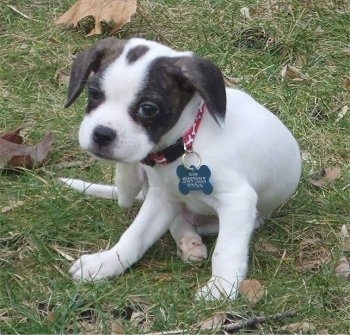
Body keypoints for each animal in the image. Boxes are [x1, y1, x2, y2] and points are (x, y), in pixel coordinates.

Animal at [60, 37, 300, 302]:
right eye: (93, 93)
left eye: (148, 109)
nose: (102, 134)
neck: (185, 143)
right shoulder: (161, 199)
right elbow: (135, 235)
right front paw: (107, 262)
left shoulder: (237, 199)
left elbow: (226, 249)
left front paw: (221, 286)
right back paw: (187, 238)